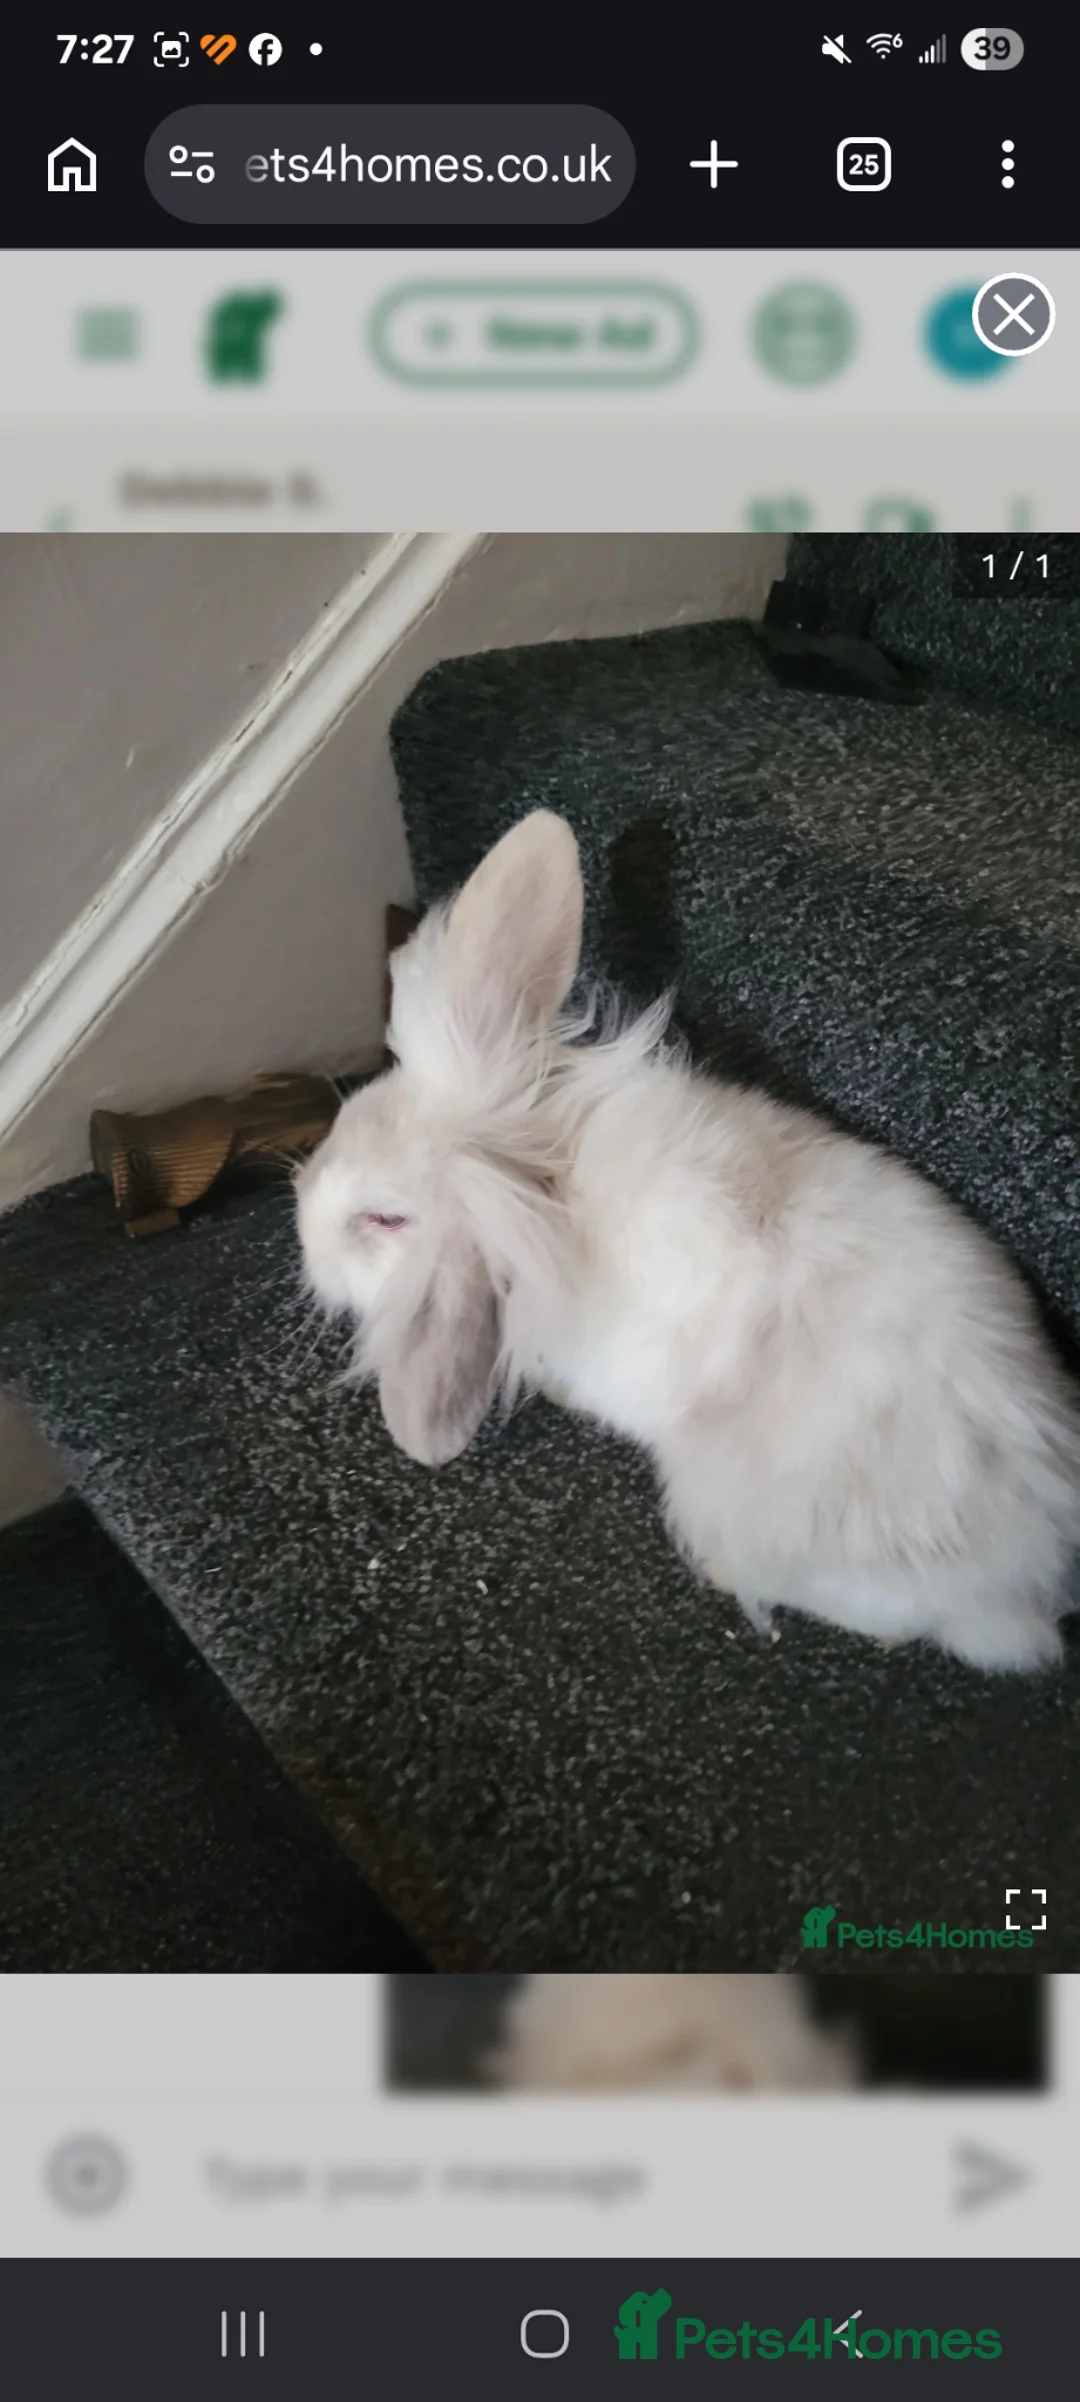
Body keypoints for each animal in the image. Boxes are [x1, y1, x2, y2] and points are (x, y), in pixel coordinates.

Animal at [296, 810, 1080, 1674]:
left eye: (385, 1221)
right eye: (353, 1114)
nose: (301, 1226)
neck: (538, 1191)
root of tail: (1027, 1582)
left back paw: (729, 1569)